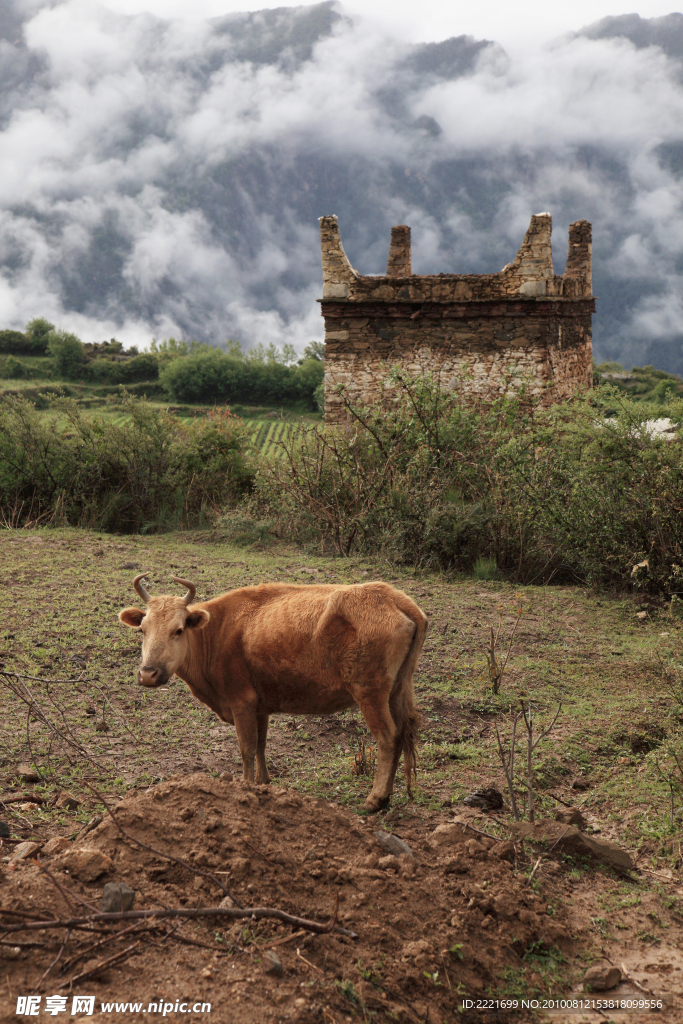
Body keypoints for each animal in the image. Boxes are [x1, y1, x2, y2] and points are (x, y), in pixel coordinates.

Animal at [118, 573, 428, 811]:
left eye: (179, 630)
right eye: (143, 629)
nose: (148, 673)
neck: (218, 631)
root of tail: (392, 597)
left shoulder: (241, 703)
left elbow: (245, 748)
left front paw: (244, 787)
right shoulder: (260, 707)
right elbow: (260, 745)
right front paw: (263, 783)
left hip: (370, 694)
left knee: (387, 738)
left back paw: (375, 800)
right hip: (396, 691)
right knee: (403, 732)